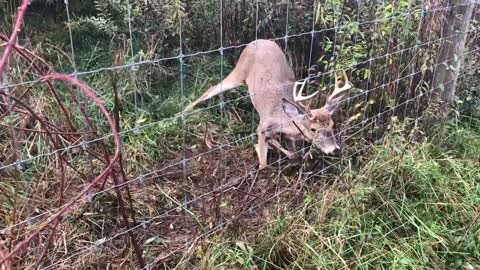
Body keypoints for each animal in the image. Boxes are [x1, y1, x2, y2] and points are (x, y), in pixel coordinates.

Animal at [184, 39, 352, 170]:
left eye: (332, 125)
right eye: (313, 129)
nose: (335, 150)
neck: (285, 121)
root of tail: (257, 41)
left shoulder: (292, 138)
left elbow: (294, 155)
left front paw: (273, 143)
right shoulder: (262, 127)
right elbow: (263, 164)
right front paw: (259, 149)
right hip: (239, 71)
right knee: (211, 89)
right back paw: (184, 112)